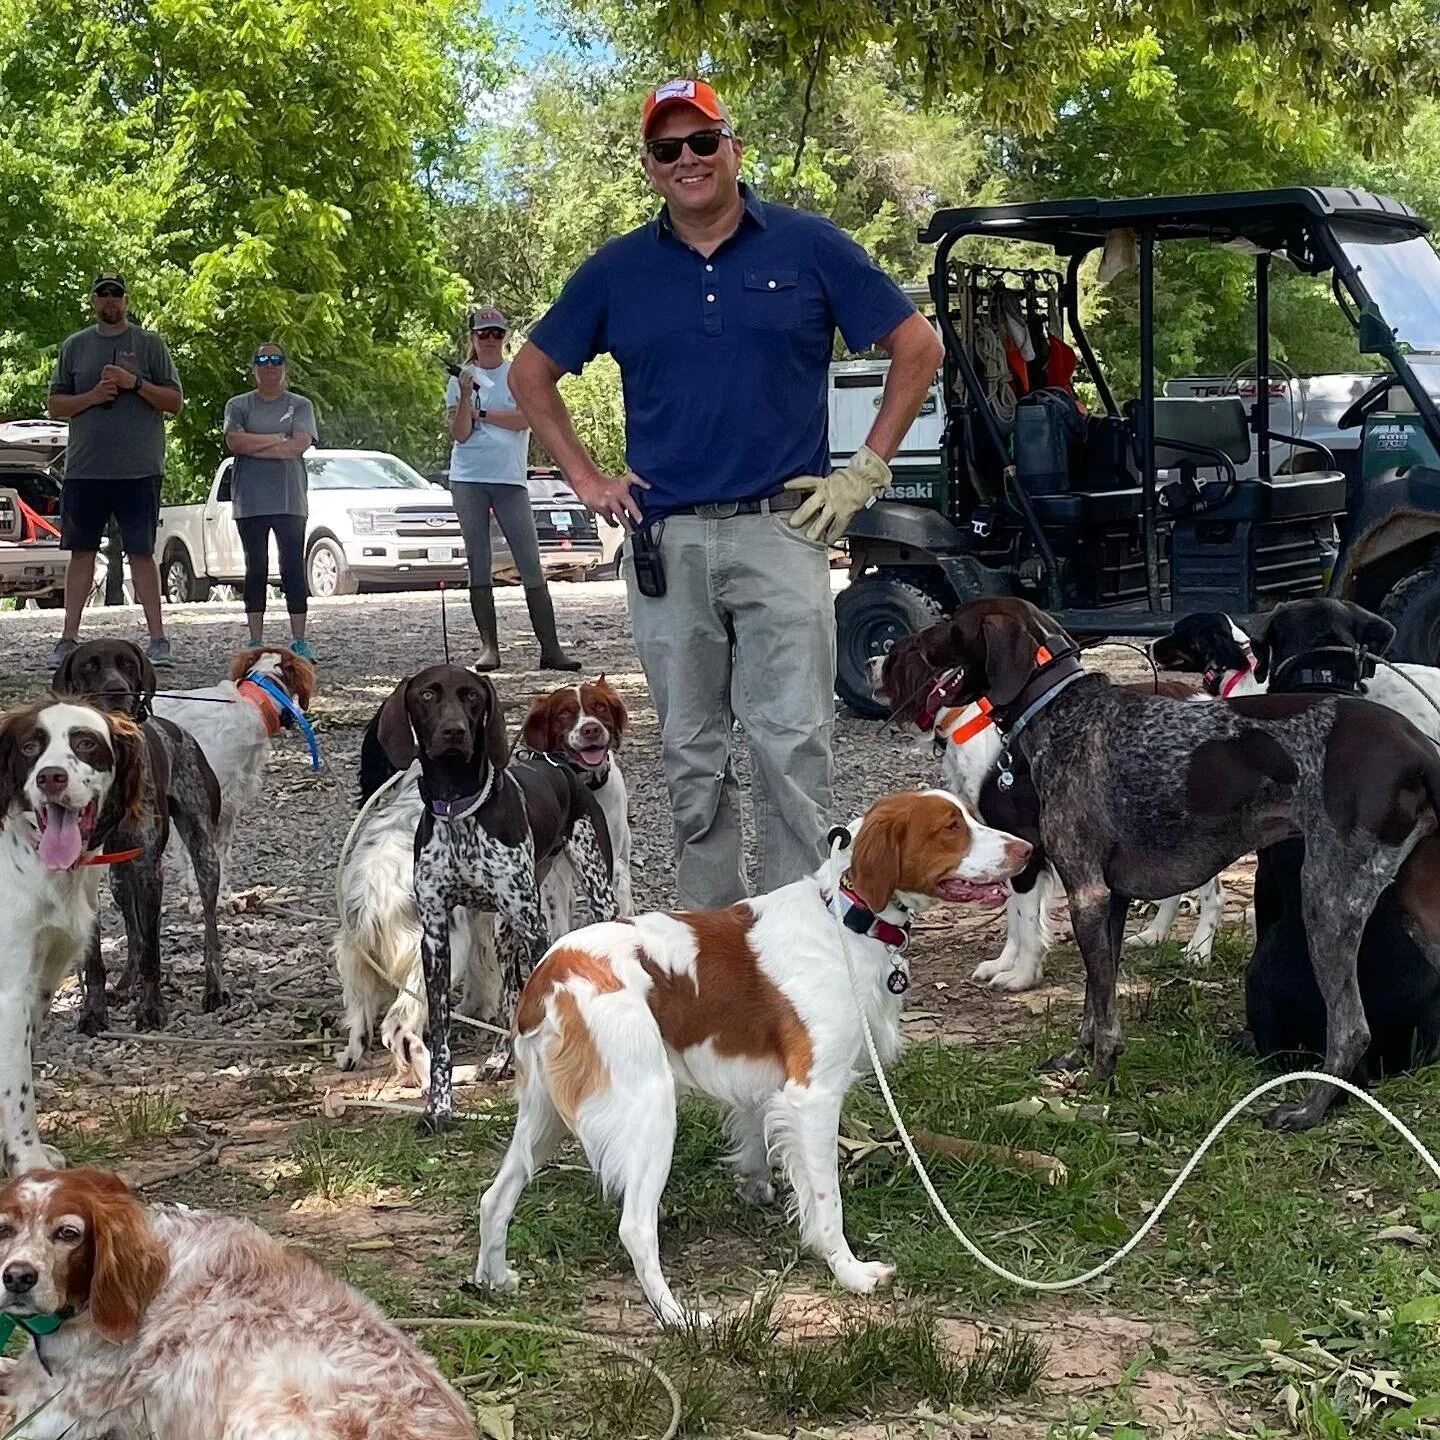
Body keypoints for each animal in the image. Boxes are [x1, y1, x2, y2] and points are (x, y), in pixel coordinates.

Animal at [52, 636, 224, 1031]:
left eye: (128, 664)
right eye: (89, 665)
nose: (118, 690)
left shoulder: (148, 871)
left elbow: (152, 953)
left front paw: (151, 1008)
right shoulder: (84, 875)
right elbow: (97, 957)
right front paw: (94, 1010)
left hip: (204, 854)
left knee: (208, 928)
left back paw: (215, 988)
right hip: (118, 880)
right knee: (132, 933)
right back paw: (125, 984)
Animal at [478, 789, 1031, 1324]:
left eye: (971, 815)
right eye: (951, 827)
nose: (1027, 850)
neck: (844, 919)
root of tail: (547, 975)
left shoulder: (765, 1088)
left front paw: (760, 1195)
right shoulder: (813, 1094)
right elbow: (828, 1200)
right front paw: (849, 1271)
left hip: (542, 1116)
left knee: (495, 1196)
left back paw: (494, 1281)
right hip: (649, 1108)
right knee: (635, 1227)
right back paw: (679, 1318)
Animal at [887, 593, 1440, 1123]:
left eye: (953, 623)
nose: (907, 645)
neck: (1064, 710)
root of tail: (1419, 748)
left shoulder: (1086, 894)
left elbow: (1103, 1007)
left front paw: (1099, 1075)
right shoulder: (1109, 901)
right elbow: (1094, 997)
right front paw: (1075, 1058)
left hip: (1326, 903)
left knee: (1351, 1029)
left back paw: (1310, 1110)